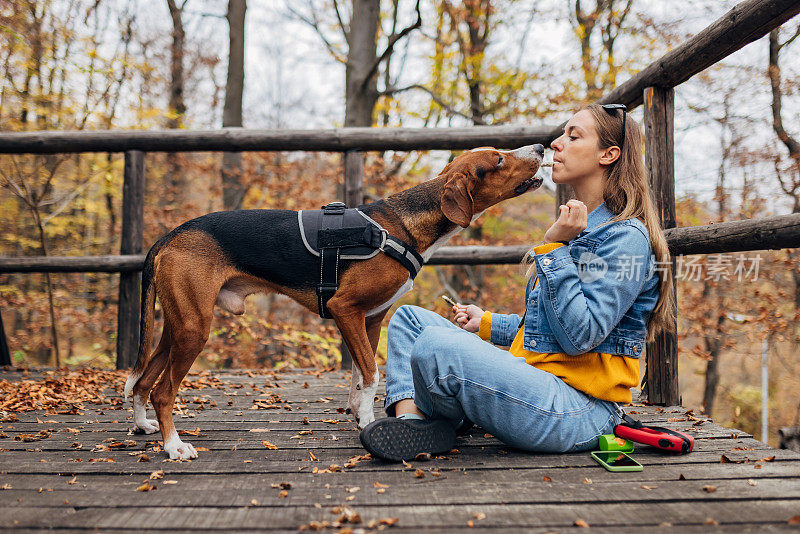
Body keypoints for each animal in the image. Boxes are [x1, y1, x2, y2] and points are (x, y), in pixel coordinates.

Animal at [125, 143, 548, 460]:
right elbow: (372, 374)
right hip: (194, 330)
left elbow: (359, 376)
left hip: (177, 328)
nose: (542, 147)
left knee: (142, 381)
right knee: (162, 390)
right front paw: (368, 419)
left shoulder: (370, 319)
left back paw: (143, 425)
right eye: (498, 160)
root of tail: (170, 235)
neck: (403, 225)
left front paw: (361, 416)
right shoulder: (345, 309)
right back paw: (174, 447)